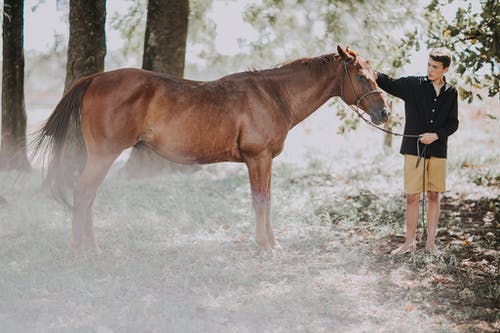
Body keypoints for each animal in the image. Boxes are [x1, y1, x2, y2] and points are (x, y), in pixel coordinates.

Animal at [32, 44, 390, 256]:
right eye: (361, 76)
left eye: (376, 75)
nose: (384, 113)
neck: (273, 95)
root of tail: (94, 79)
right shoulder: (257, 159)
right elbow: (260, 201)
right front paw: (264, 247)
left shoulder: (266, 162)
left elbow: (269, 200)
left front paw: (273, 243)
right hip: (103, 156)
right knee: (83, 193)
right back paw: (81, 252)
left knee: (87, 197)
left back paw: (92, 248)